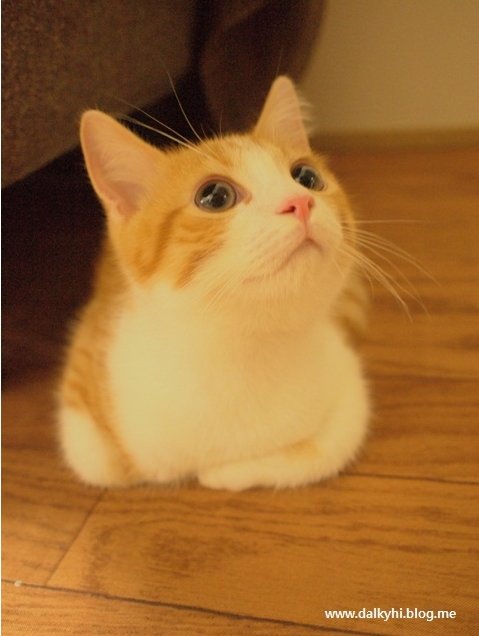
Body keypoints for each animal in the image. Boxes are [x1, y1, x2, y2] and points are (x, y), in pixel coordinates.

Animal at [58, 76, 370, 491]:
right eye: (216, 196)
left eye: (306, 177)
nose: (299, 201)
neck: (239, 348)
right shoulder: (84, 392)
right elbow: (104, 466)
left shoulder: (349, 388)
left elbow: (322, 451)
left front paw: (224, 472)